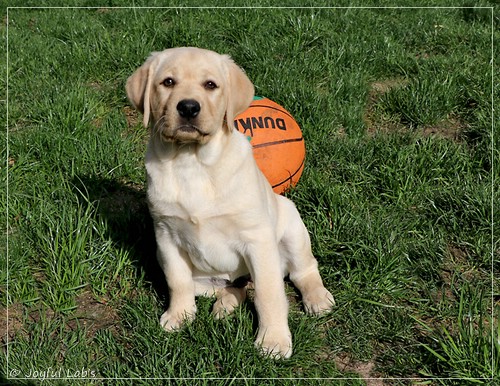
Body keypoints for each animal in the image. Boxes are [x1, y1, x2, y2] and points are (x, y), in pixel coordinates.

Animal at [127, 46, 334, 358]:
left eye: (210, 85)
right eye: (168, 82)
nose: (188, 108)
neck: (191, 161)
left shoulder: (257, 239)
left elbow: (269, 293)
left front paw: (273, 340)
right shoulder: (166, 235)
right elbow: (177, 281)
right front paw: (179, 316)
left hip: (291, 227)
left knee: (303, 270)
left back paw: (317, 298)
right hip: (197, 273)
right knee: (236, 286)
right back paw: (225, 304)